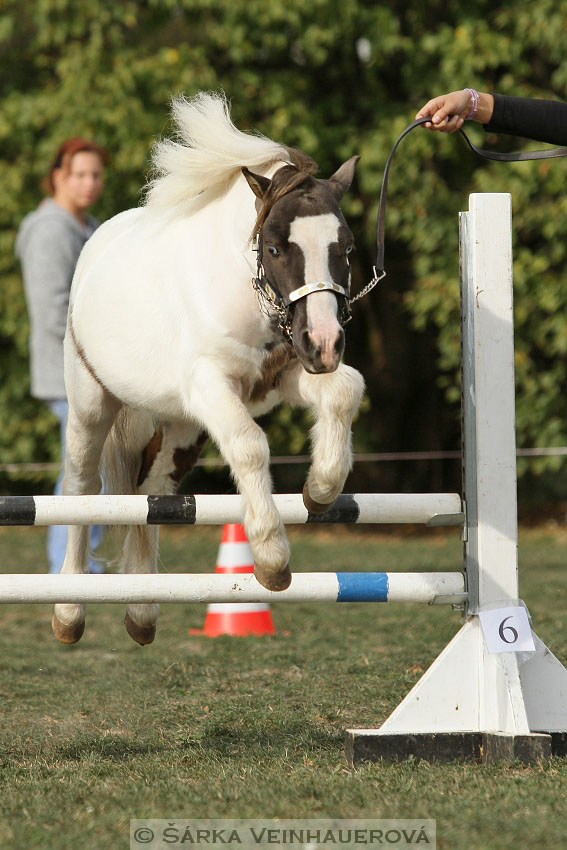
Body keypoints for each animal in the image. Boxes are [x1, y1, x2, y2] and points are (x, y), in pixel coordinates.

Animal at [52, 93, 364, 644]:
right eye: (275, 247)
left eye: (345, 249)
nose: (326, 343)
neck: (244, 292)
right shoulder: (211, 386)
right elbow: (250, 445)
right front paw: (271, 558)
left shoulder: (280, 375)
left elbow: (346, 389)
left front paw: (321, 490)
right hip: (92, 407)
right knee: (82, 491)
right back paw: (70, 612)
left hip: (182, 429)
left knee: (151, 491)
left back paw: (141, 611)